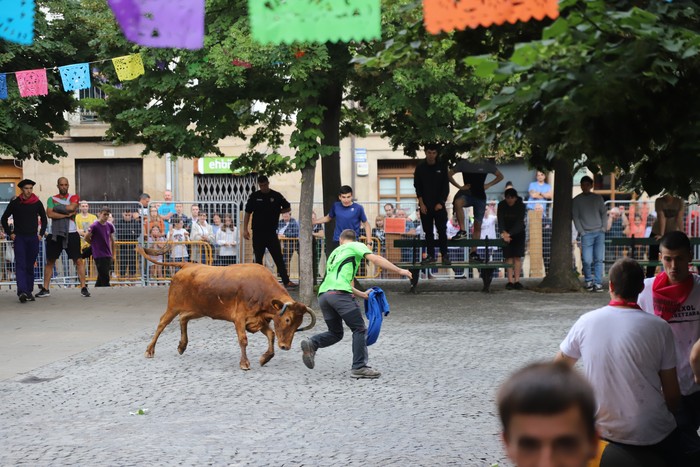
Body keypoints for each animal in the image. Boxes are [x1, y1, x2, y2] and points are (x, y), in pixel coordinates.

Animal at [137, 247, 314, 372]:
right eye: (287, 319)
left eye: (298, 325)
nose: (285, 346)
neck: (261, 290)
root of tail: (187, 265)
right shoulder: (240, 318)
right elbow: (243, 339)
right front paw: (244, 363)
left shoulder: (258, 319)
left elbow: (271, 335)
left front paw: (265, 358)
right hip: (173, 306)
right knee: (162, 323)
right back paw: (149, 350)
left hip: (199, 309)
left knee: (183, 318)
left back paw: (182, 346)